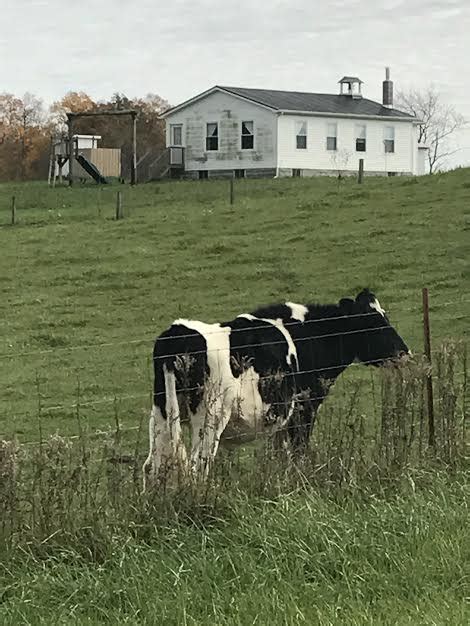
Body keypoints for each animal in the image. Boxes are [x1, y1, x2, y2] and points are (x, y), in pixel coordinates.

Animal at [141, 288, 410, 488]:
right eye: (374, 323)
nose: (405, 353)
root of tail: (177, 331)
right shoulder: (304, 408)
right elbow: (299, 452)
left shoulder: (282, 417)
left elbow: (281, 456)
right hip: (211, 416)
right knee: (198, 465)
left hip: (161, 413)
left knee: (152, 466)